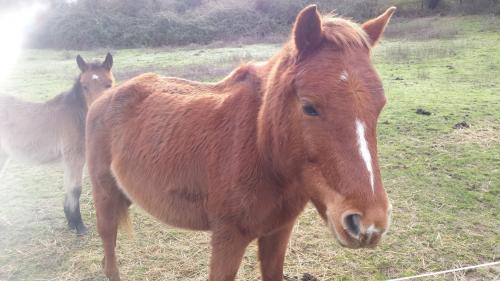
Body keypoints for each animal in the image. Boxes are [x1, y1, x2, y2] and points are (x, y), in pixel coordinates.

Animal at [0, 53, 114, 234]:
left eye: (109, 84)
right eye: (84, 86)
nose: (97, 116)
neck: (77, 117)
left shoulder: (73, 160)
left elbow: (69, 188)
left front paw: (71, 222)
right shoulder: (74, 158)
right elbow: (75, 189)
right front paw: (79, 226)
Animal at [88, 5, 396, 278]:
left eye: (380, 106)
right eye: (309, 107)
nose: (368, 224)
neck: (261, 148)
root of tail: (103, 97)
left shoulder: (278, 233)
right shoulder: (228, 239)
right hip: (104, 197)